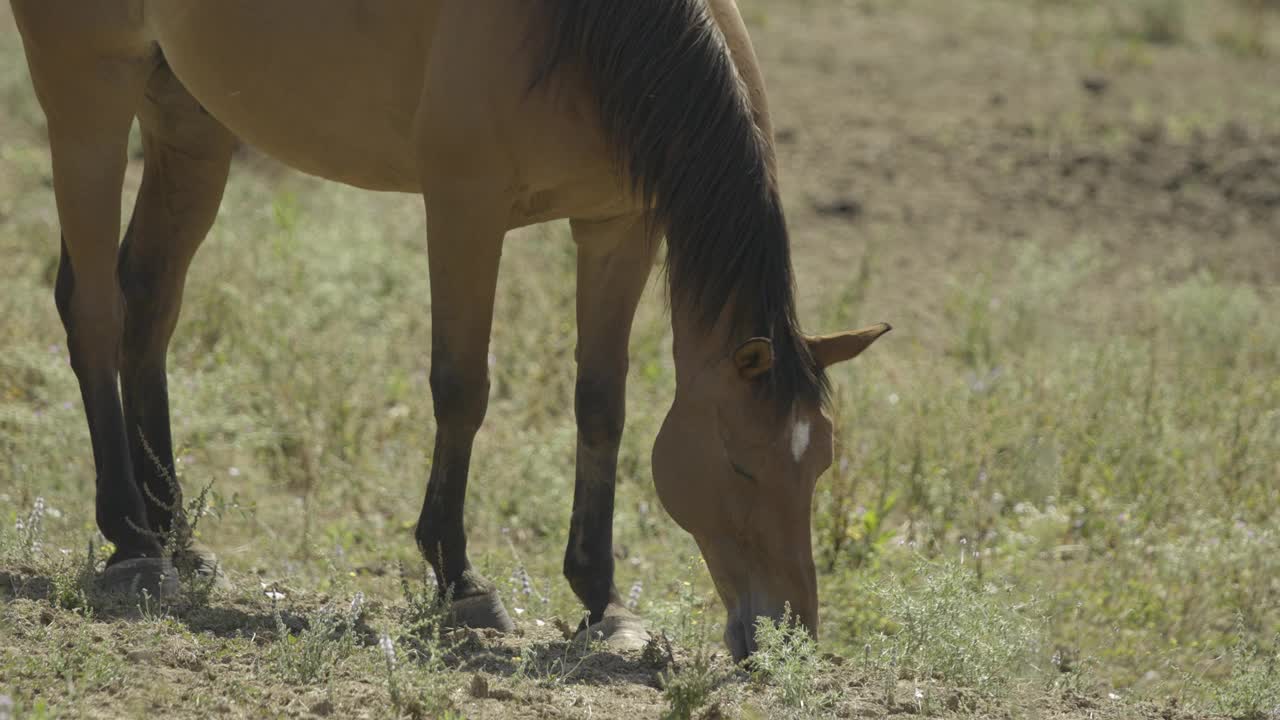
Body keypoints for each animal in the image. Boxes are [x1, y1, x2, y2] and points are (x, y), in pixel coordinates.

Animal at [12, 0, 890, 661]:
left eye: (819, 465)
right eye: (741, 467)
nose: (787, 637)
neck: (589, 29)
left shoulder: (619, 226)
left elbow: (601, 404)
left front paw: (602, 600)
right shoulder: (465, 208)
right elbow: (462, 388)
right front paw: (460, 580)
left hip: (189, 120)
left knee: (151, 300)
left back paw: (179, 536)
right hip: (88, 94)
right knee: (94, 308)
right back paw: (132, 540)